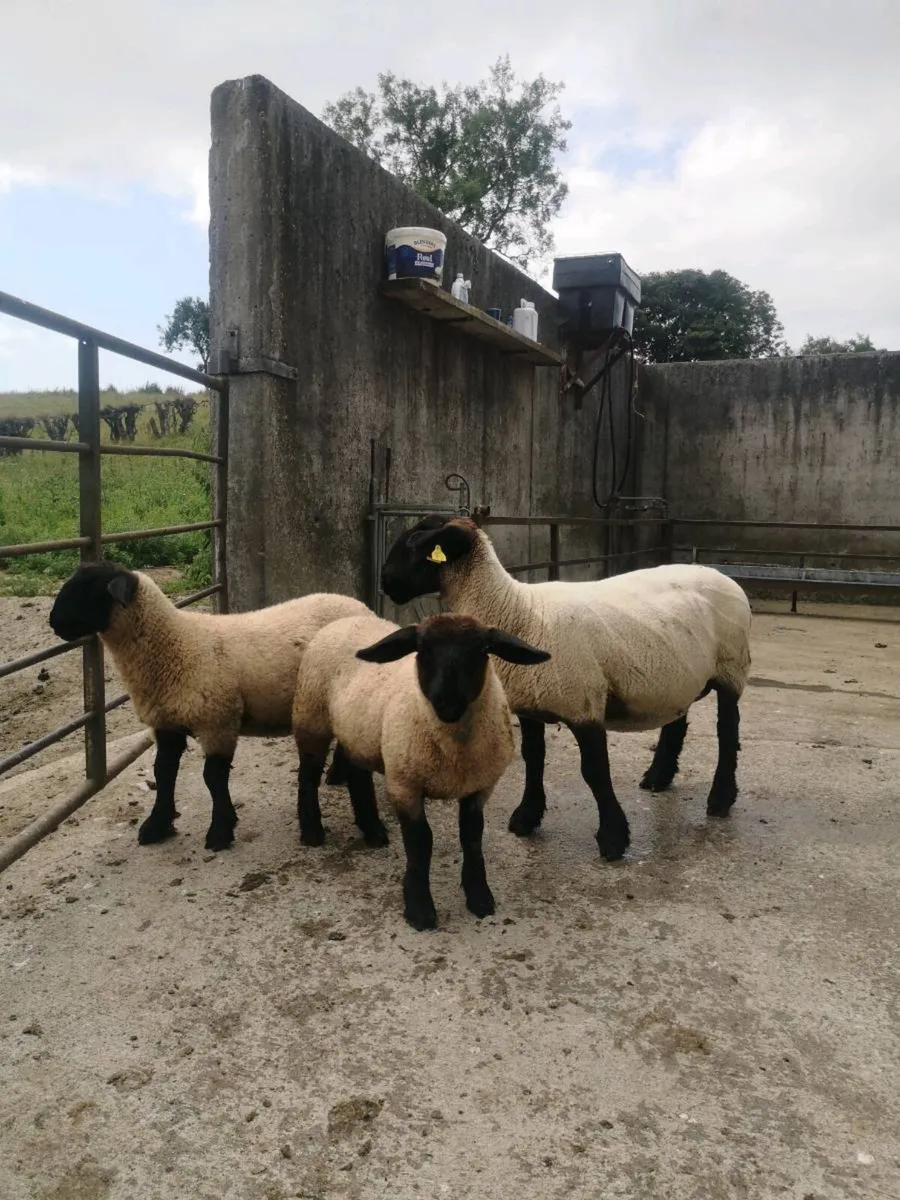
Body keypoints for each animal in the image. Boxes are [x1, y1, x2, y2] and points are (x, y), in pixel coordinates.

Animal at [48, 561, 369, 851]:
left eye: (89, 589)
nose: (53, 622)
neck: (174, 644)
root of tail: (361, 606)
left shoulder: (219, 721)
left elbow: (213, 778)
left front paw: (220, 831)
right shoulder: (167, 723)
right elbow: (163, 773)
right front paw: (157, 826)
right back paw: (337, 774)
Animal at [291, 611, 550, 930]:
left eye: (480, 651)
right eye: (423, 649)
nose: (447, 702)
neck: (453, 747)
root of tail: (346, 618)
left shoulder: (479, 786)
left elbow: (472, 836)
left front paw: (479, 897)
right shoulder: (405, 786)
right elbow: (420, 842)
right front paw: (419, 908)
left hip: (358, 732)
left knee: (357, 774)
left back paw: (372, 830)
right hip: (311, 717)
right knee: (308, 775)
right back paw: (312, 832)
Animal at [379, 515, 752, 862]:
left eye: (418, 542)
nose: (385, 581)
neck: (517, 611)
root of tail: (722, 575)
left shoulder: (584, 704)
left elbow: (595, 771)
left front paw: (613, 838)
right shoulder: (529, 705)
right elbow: (533, 758)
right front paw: (526, 818)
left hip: (732, 666)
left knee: (727, 730)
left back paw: (720, 798)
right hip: (676, 673)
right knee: (676, 720)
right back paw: (658, 777)